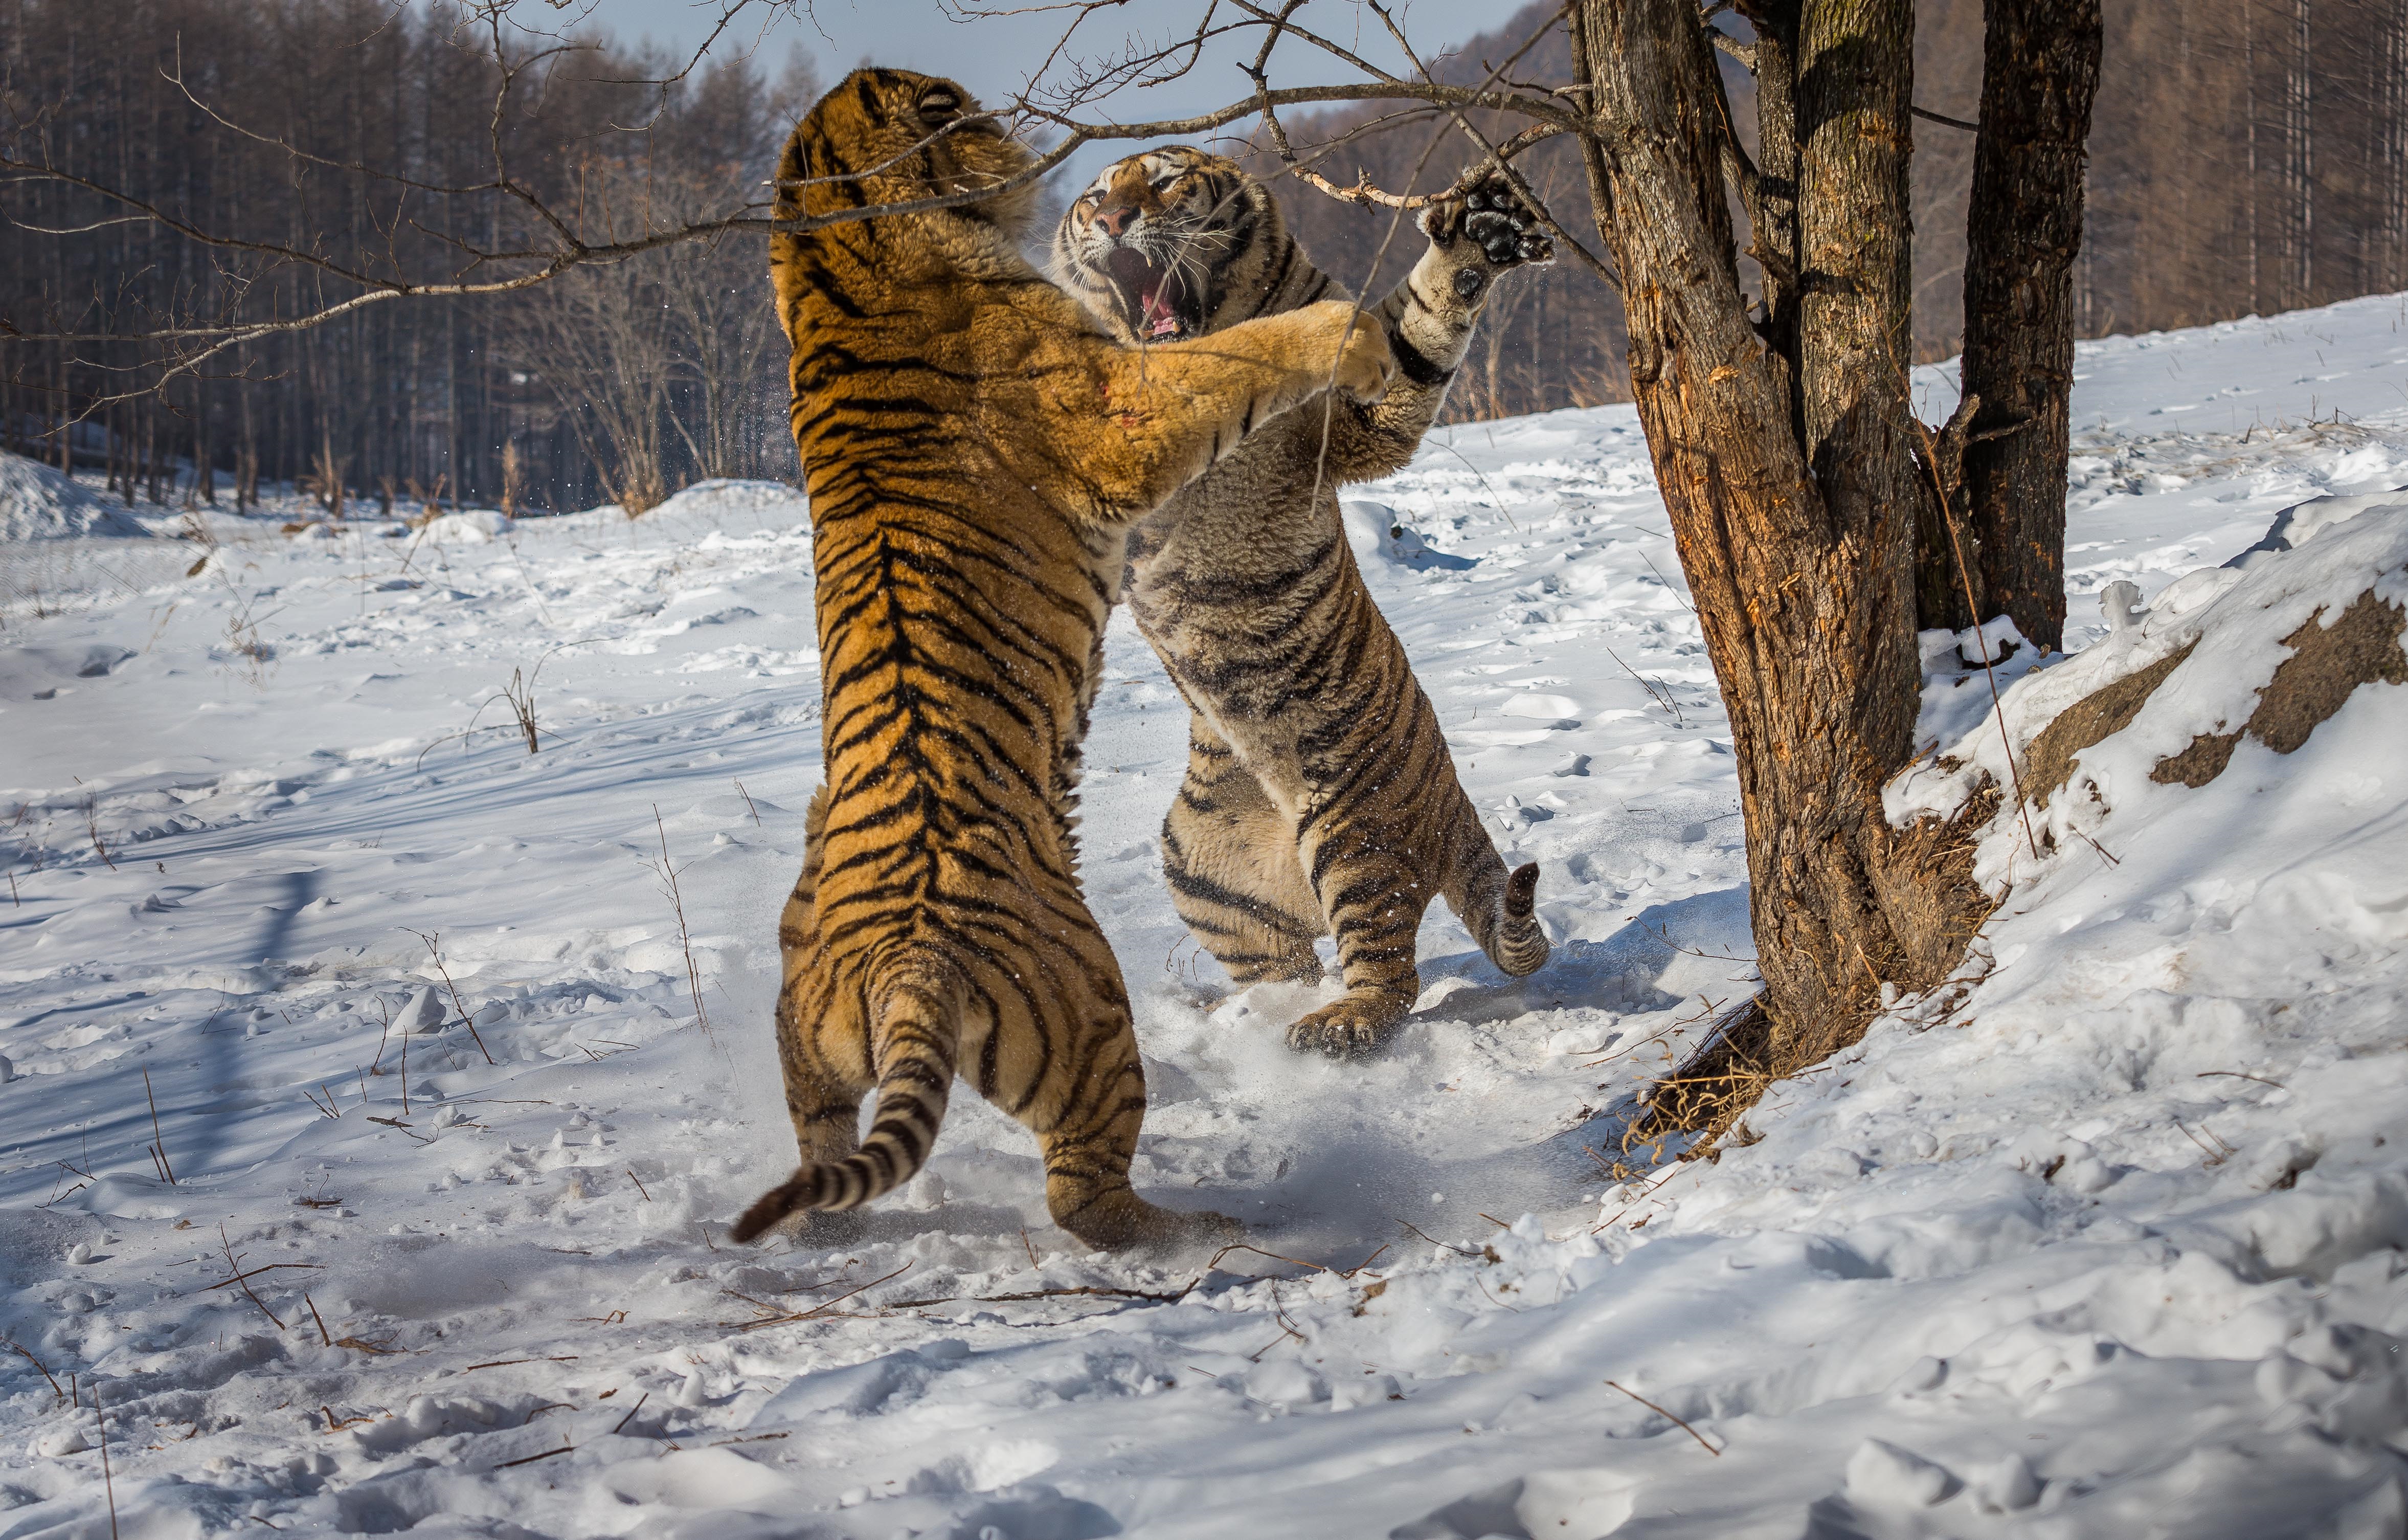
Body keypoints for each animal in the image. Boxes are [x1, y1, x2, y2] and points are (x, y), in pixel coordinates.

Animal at [727, 75, 1397, 1253]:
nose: (1093, 200)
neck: (830, 246)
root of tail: (907, 966)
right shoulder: (1116, 407)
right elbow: (1237, 352)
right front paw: (1343, 327)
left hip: (801, 1027)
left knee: (819, 1150)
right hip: (1089, 1010)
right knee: (1085, 1195)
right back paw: (1205, 1221)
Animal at [1059, 147, 1560, 1060]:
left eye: (1165, 180)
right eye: (1094, 195)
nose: (1113, 221)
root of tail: (1453, 809)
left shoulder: (1354, 424)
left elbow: (1412, 341)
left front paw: (1481, 238)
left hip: (1356, 831)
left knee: (1389, 976)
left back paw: (1334, 1025)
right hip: (1199, 858)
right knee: (1277, 958)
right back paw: (1248, 1020)